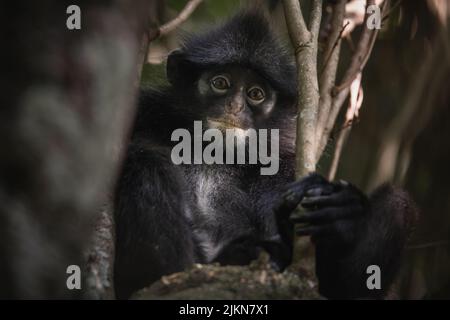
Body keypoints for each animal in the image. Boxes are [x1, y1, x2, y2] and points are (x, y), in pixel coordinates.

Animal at [113, 11, 418, 298]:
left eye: (256, 94)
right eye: (220, 83)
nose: (234, 106)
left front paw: (341, 211)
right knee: (146, 161)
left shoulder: (285, 168)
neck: (214, 156)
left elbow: (334, 285)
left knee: (397, 202)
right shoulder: (145, 109)